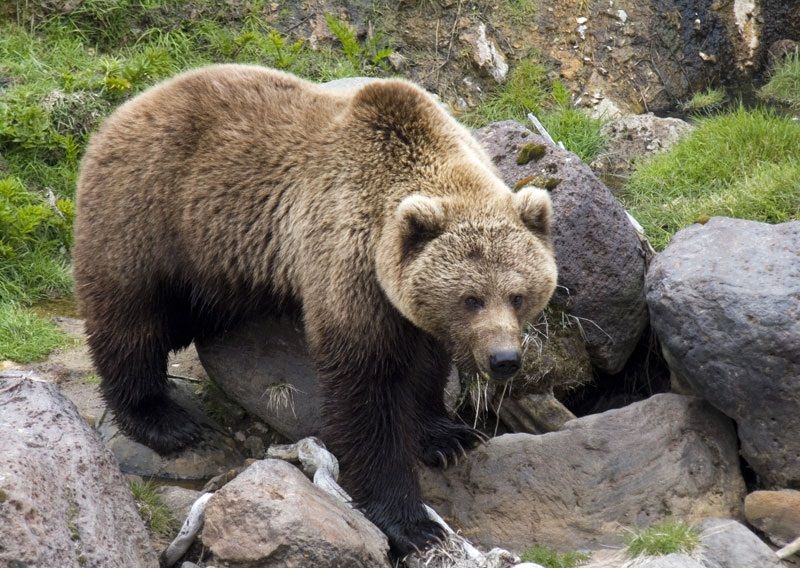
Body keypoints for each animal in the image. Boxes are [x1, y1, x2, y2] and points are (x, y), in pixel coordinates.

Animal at [73, 63, 556, 556]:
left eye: (518, 296)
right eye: (471, 298)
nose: (504, 359)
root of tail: (131, 104)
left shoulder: (407, 302)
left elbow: (425, 365)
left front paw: (447, 436)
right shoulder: (350, 263)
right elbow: (366, 393)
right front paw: (412, 522)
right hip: (149, 213)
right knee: (130, 318)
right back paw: (161, 418)